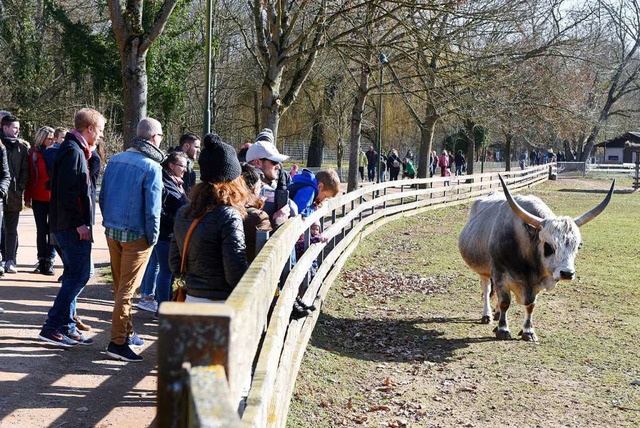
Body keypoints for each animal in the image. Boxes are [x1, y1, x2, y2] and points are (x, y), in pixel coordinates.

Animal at [458, 175, 612, 342]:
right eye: (548, 245)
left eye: (578, 246)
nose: (567, 273)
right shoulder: (500, 275)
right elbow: (505, 301)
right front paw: (503, 329)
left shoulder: (535, 284)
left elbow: (531, 306)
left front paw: (528, 331)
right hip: (484, 270)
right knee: (486, 290)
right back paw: (487, 315)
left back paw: (497, 313)